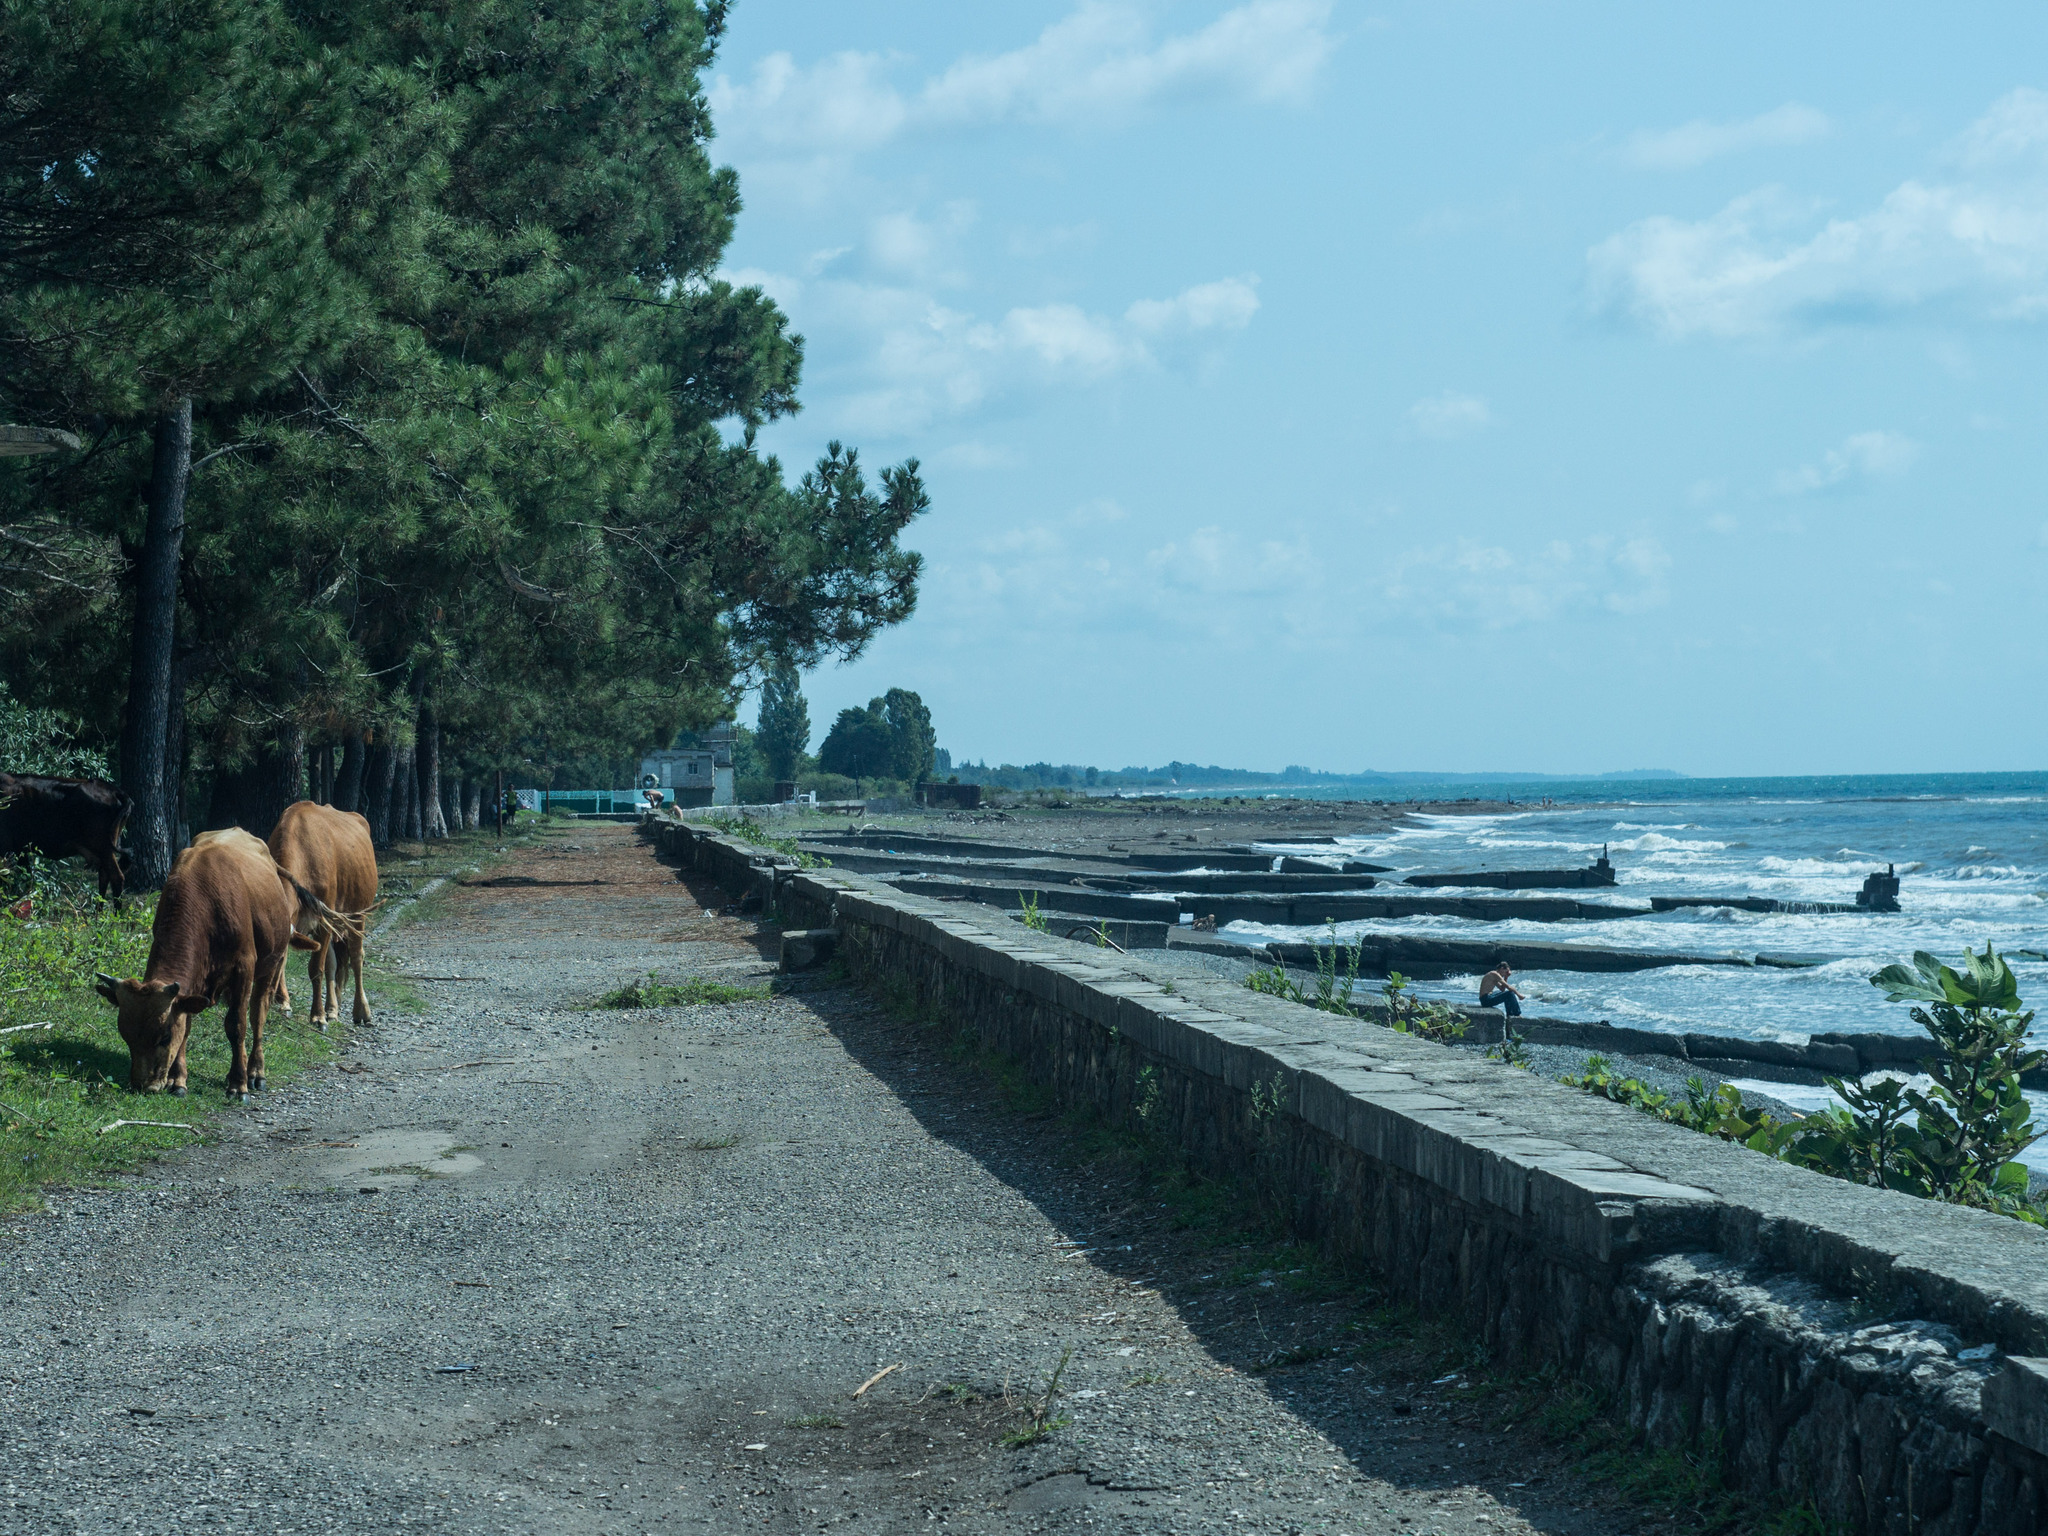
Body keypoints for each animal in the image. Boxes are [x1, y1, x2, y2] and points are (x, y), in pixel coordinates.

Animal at [0, 774, 132, 909]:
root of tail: (115, 791)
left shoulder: (7, 849)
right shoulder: (19, 850)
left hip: (103, 848)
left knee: (116, 877)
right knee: (105, 875)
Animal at [96, 831, 342, 1097]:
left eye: (164, 1037)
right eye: (125, 1035)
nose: (144, 1086)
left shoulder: (243, 969)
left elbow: (236, 1025)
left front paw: (238, 1083)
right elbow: (187, 1024)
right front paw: (178, 1080)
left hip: (270, 966)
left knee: (258, 1013)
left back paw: (255, 1071)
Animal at [266, 798, 378, 1028]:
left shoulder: (323, 922)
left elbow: (315, 967)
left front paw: (317, 1015)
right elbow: (322, 964)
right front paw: (285, 1003)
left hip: (358, 914)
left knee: (356, 957)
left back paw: (361, 1010)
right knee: (334, 962)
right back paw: (333, 1009)